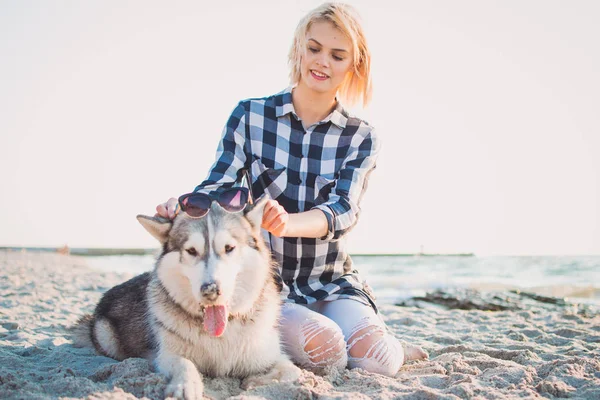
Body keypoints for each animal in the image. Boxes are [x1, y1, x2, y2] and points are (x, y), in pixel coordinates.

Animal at [72, 198, 300, 400]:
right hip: (106, 336)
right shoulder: (166, 355)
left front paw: (254, 381)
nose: (210, 290)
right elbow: (185, 363)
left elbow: (292, 370)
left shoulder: (269, 354)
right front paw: (185, 386)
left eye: (229, 248)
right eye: (191, 251)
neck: (220, 335)